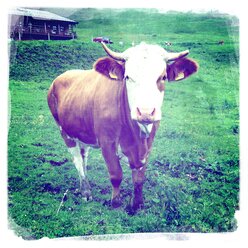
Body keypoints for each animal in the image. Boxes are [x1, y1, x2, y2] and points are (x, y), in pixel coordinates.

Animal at [47, 41, 199, 211]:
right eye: (127, 76)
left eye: (163, 77)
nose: (145, 112)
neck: (135, 137)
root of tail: (62, 76)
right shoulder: (107, 142)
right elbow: (116, 175)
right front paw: (115, 202)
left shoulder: (148, 146)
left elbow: (139, 178)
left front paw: (137, 204)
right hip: (64, 131)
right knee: (78, 160)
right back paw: (86, 192)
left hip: (82, 132)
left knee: (83, 156)